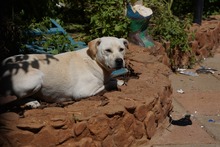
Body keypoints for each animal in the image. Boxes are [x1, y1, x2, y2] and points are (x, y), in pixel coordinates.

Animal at [0, 36, 128, 107]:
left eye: (121, 49)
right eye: (108, 50)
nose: (119, 61)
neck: (95, 60)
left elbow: (111, 80)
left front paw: (118, 81)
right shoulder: (82, 92)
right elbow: (106, 85)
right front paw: (116, 83)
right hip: (36, 77)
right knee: (12, 100)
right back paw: (30, 102)